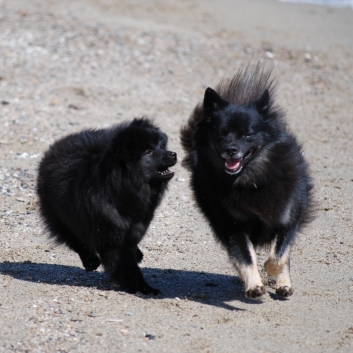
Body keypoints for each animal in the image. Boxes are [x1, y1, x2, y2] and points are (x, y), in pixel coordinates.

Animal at [36, 118, 176, 294]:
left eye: (160, 146)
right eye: (148, 151)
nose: (173, 154)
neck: (121, 188)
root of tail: (52, 149)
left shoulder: (136, 224)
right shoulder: (111, 234)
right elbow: (126, 266)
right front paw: (142, 287)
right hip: (59, 217)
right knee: (75, 239)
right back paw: (90, 261)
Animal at [182, 64, 314, 298]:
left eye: (247, 134)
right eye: (222, 133)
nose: (230, 150)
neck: (251, 181)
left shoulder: (289, 217)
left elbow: (279, 256)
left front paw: (273, 271)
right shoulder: (232, 225)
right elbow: (245, 256)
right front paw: (254, 284)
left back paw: (284, 284)